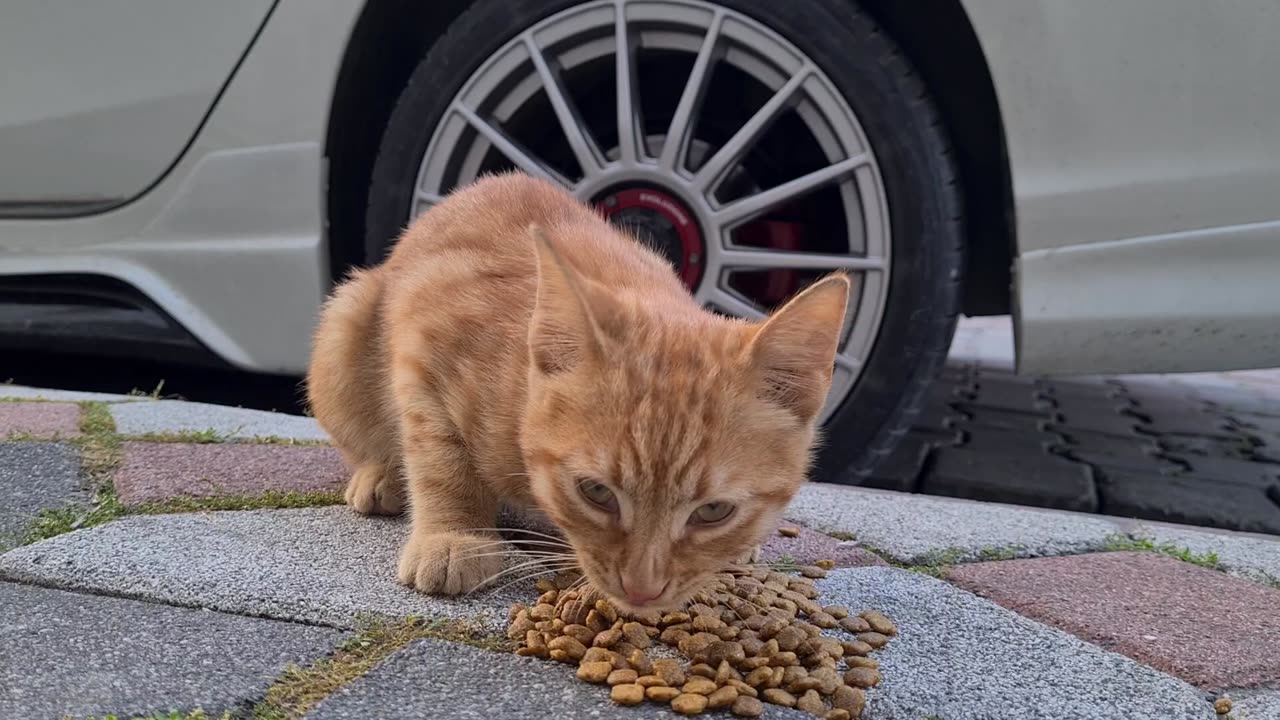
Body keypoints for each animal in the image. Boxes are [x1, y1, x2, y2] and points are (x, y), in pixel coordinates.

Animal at [305, 174, 849, 609]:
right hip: (347, 323)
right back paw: (381, 476)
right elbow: (440, 455)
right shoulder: (421, 343)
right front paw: (454, 536)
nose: (641, 589)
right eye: (596, 492)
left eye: (715, 511)